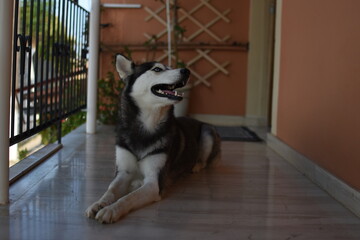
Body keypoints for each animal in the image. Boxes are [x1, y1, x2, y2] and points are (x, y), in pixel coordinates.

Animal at [86, 54, 221, 223]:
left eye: (171, 67)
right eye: (157, 69)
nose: (186, 71)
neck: (146, 126)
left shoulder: (153, 183)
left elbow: (128, 198)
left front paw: (111, 210)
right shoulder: (124, 172)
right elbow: (110, 190)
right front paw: (99, 203)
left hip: (207, 132)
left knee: (204, 159)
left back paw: (196, 165)